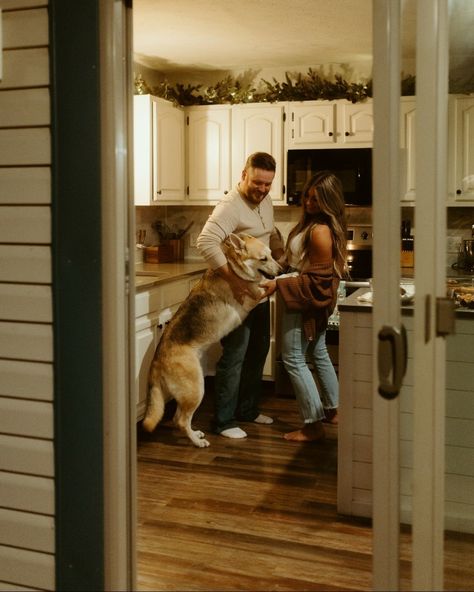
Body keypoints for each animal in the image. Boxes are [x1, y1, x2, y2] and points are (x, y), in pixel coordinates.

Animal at [142, 234, 282, 446]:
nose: (283, 269)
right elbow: (266, 285)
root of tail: (157, 361)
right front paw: (289, 277)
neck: (234, 268)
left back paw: (196, 434)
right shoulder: (253, 295)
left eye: (272, 255)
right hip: (196, 389)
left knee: (177, 418)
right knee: (181, 420)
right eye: (263, 259)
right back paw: (197, 442)